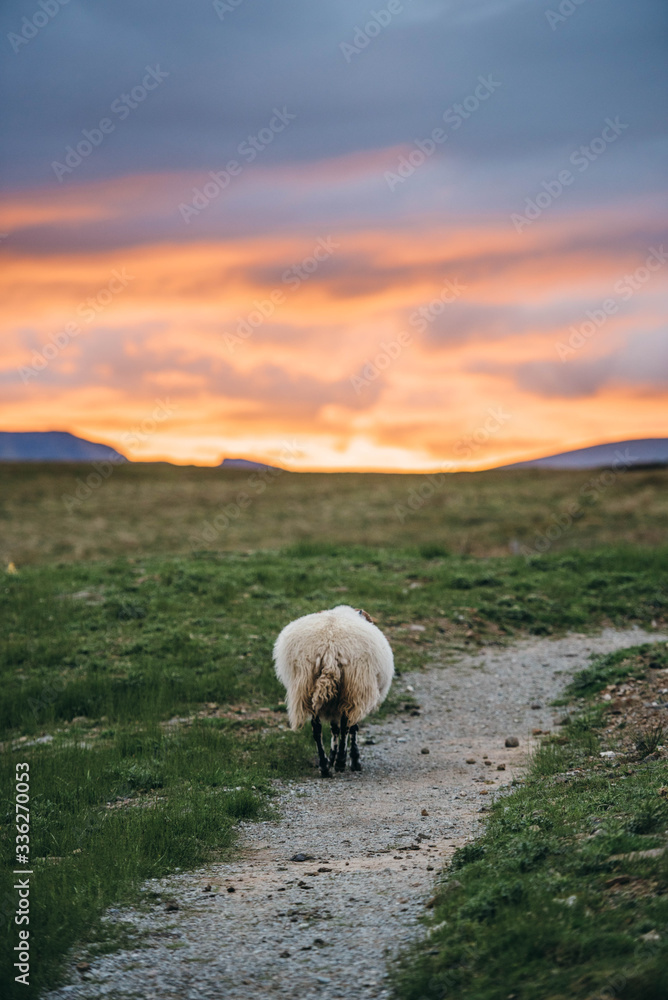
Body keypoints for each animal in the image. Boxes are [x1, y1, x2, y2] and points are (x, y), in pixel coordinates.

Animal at [273, 605, 394, 777]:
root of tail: (329, 648)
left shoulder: (332, 703)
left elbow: (333, 729)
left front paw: (331, 757)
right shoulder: (355, 695)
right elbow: (350, 728)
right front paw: (353, 760)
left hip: (307, 687)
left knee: (317, 729)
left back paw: (324, 766)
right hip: (353, 688)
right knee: (346, 725)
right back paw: (341, 762)